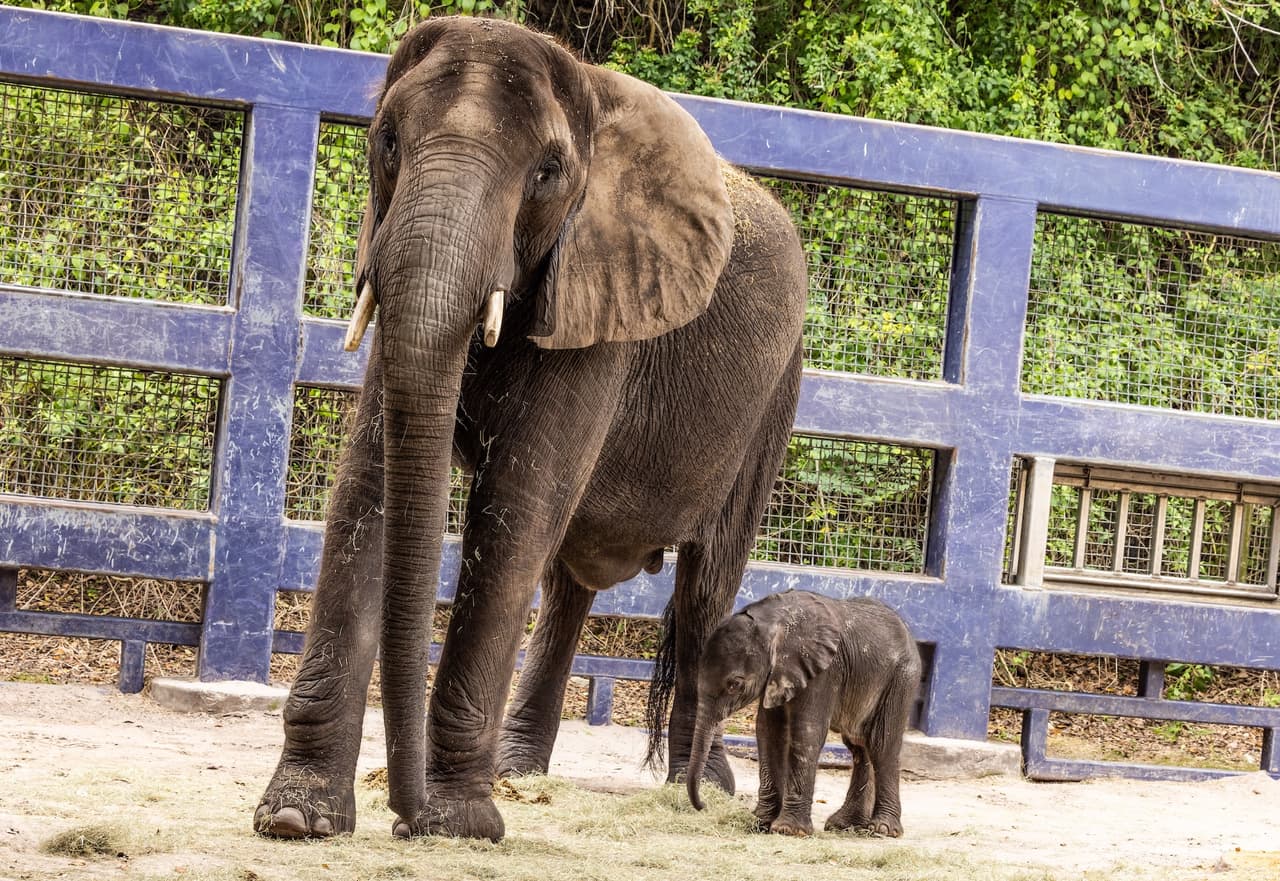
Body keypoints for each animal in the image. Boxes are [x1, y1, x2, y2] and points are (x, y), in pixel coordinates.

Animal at [254, 16, 807, 843]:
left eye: (548, 173)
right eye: (388, 141)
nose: (404, 812)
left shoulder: (601, 305)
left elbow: (513, 508)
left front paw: (455, 824)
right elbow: (368, 489)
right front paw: (297, 816)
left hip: (773, 398)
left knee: (705, 585)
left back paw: (699, 786)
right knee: (569, 581)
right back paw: (520, 769)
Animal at [686, 590, 921, 838]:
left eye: (735, 684)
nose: (703, 805)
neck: (773, 621)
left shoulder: (825, 671)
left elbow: (807, 731)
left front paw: (788, 830)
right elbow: (768, 732)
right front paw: (760, 823)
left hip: (902, 678)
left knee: (881, 744)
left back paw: (882, 829)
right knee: (859, 745)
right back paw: (844, 826)